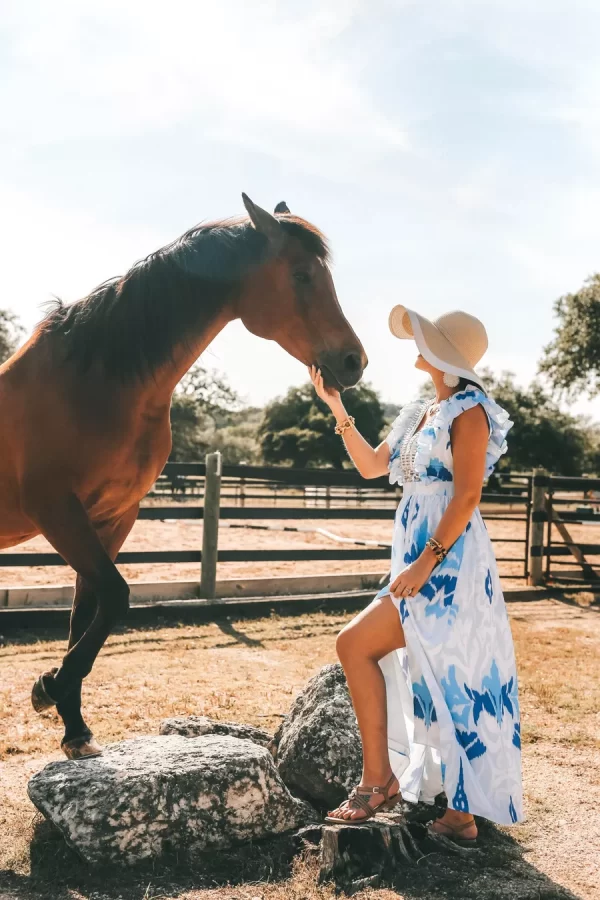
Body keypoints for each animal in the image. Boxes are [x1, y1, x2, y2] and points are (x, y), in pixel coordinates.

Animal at [0, 197, 366, 760]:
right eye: (302, 275)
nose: (353, 361)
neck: (96, 381)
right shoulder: (57, 511)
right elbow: (116, 595)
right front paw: (48, 688)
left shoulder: (111, 517)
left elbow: (88, 612)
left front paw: (74, 725)